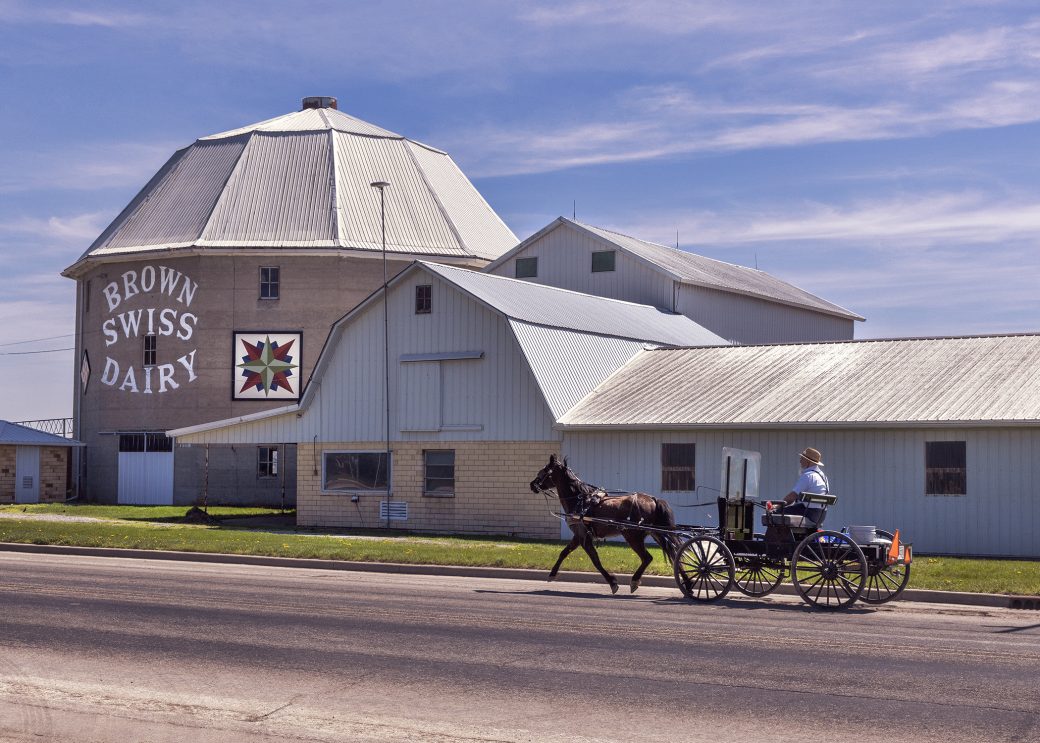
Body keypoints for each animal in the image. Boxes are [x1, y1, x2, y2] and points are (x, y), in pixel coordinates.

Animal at [528, 449, 682, 595]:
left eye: (543, 471)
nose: (532, 485)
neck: (580, 500)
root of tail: (653, 499)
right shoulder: (578, 535)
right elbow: (564, 552)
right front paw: (552, 573)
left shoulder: (584, 537)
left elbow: (595, 560)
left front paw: (612, 583)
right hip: (657, 534)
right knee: (674, 554)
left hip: (633, 536)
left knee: (647, 558)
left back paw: (635, 581)